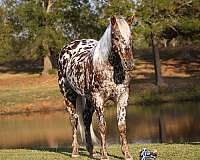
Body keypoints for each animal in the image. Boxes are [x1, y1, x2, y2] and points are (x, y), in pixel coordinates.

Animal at [58, 15, 136, 159]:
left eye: (130, 37)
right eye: (116, 37)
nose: (129, 63)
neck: (111, 70)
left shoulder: (122, 98)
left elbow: (122, 126)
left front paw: (127, 154)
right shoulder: (99, 99)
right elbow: (102, 126)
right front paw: (104, 155)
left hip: (89, 100)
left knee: (86, 119)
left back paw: (91, 150)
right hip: (69, 96)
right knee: (74, 121)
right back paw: (75, 152)